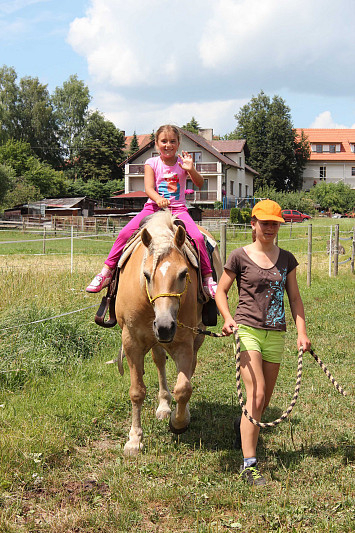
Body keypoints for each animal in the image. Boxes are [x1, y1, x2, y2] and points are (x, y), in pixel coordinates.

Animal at [115, 210, 222, 456]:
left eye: (183, 273)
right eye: (146, 275)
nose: (164, 326)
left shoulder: (184, 341)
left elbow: (183, 388)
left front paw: (179, 422)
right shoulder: (131, 342)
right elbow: (137, 391)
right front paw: (134, 439)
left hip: (197, 336)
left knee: (189, 369)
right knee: (159, 362)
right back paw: (164, 405)